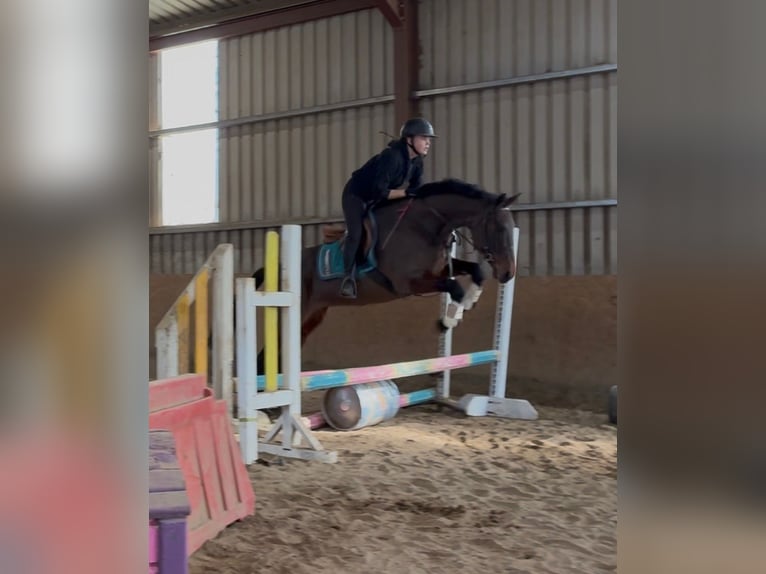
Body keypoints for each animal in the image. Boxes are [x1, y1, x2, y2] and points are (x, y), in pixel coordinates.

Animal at [252, 178, 520, 368]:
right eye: (498, 228)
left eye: (511, 228)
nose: (508, 273)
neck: (425, 226)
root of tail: (280, 265)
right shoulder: (409, 283)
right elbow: (454, 287)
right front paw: (447, 321)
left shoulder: (438, 269)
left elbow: (476, 271)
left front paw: (468, 304)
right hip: (295, 311)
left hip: (313, 316)